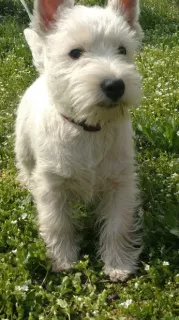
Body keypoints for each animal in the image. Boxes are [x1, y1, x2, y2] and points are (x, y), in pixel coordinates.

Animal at [15, 0, 144, 282]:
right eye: (75, 53)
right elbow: (58, 223)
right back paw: (27, 181)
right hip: (23, 147)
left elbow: (117, 225)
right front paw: (63, 259)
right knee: (26, 166)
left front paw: (118, 264)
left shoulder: (120, 184)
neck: (88, 128)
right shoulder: (52, 188)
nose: (115, 85)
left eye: (122, 49)